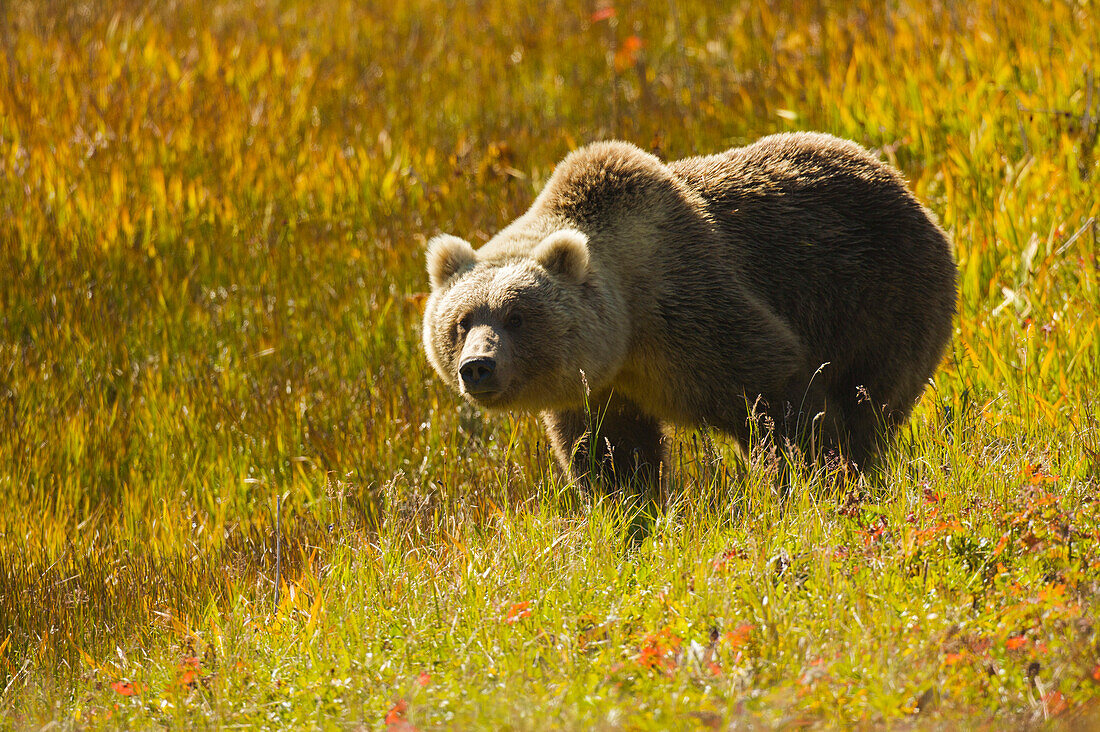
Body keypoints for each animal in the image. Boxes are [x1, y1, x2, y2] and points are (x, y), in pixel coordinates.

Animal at [420, 132, 954, 484]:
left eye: (516, 316)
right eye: (462, 321)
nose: (478, 366)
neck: (629, 335)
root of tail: (901, 183)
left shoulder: (694, 312)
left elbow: (780, 399)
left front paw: (814, 472)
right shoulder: (601, 390)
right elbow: (611, 455)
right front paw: (630, 512)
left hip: (879, 298)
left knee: (871, 400)